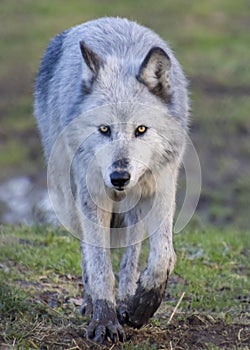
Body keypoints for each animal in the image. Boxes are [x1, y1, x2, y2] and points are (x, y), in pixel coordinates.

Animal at [34, 17, 188, 344]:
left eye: (141, 129)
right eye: (104, 129)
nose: (119, 177)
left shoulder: (162, 186)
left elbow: (163, 257)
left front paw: (142, 305)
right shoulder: (92, 197)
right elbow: (100, 265)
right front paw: (104, 320)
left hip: (134, 210)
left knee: (132, 255)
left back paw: (128, 299)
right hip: (70, 201)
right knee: (87, 253)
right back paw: (92, 302)